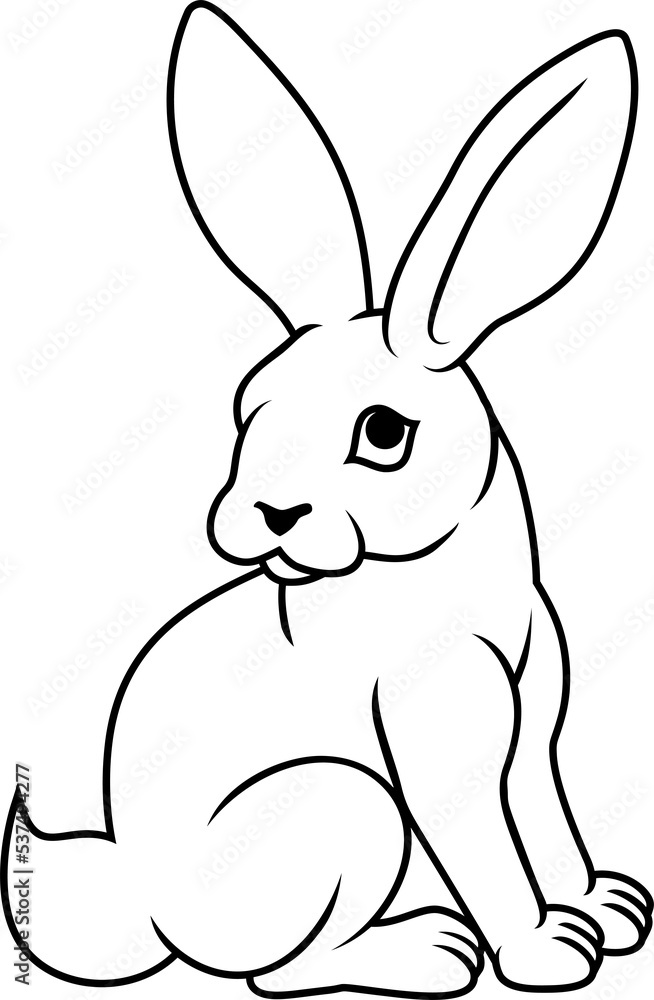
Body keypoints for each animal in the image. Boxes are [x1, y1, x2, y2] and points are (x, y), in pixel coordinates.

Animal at [3, 2, 652, 995]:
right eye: (248, 409)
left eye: (382, 432)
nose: (270, 517)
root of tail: (144, 905)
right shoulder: (439, 741)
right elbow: (485, 846)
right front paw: (543, 951)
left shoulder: (533, 730)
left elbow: (545, 816)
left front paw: (604, 912)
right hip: (349, 807)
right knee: (278, 970)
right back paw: (428, 949)